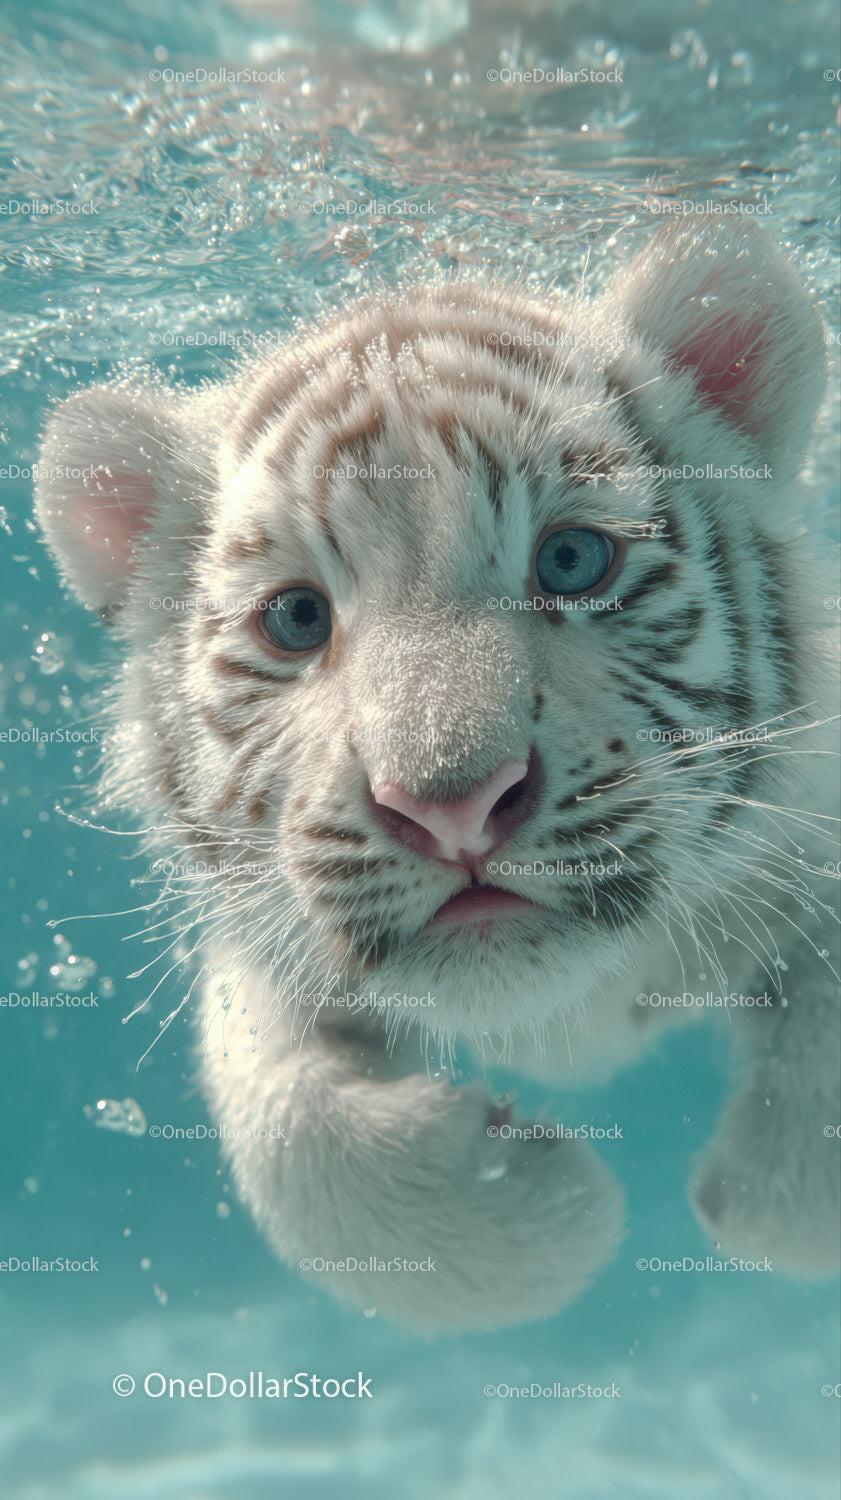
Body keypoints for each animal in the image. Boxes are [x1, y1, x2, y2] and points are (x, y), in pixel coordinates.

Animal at [36, 215, 840, 1330]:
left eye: (573, 562)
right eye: (296, 618)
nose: (451, 807)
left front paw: (747, 1195)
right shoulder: (272, 943)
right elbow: (290, 1139)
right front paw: (542, 1208)